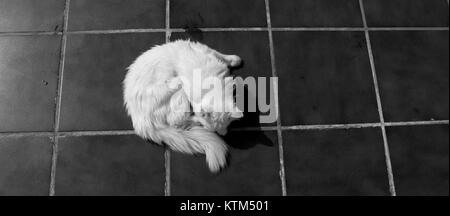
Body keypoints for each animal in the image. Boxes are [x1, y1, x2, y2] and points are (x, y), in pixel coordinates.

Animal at [122, 39, 243, 173]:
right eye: (213, 130)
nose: (223, 134)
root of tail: (140, 122)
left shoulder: (205, 50)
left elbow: (220, 55)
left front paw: (234, 59)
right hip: (177, 91)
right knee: (176, 121)